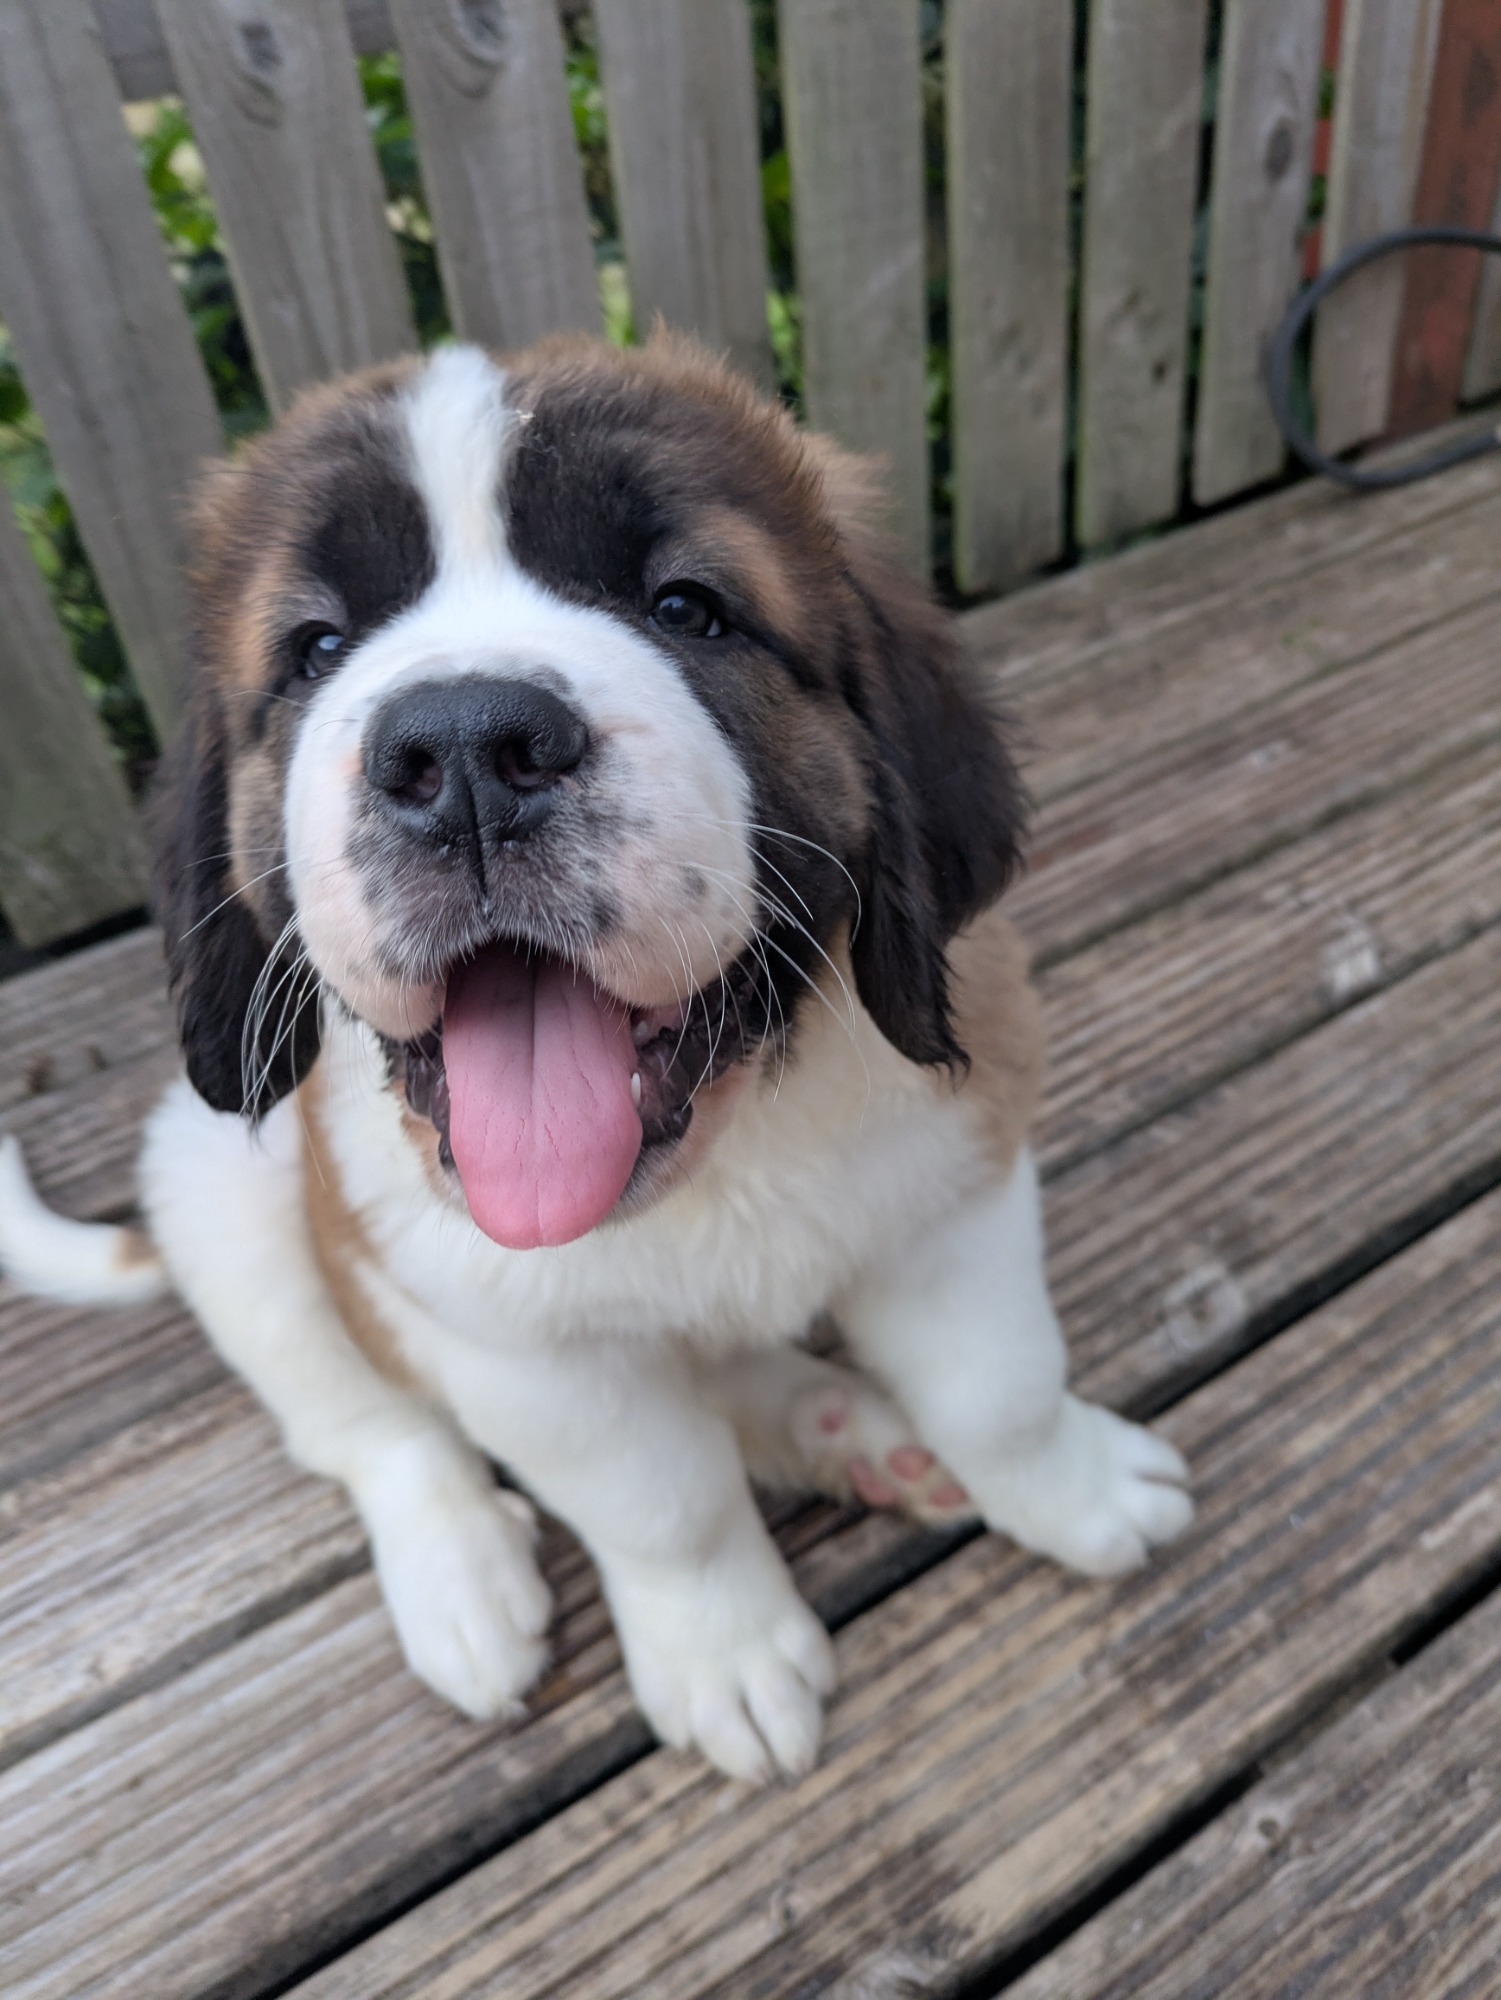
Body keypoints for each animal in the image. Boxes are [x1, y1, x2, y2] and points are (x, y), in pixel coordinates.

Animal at [0, 335, 1191, 1781]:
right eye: (316, 648)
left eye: (687, 608)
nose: (464, 748)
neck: (722, 1141)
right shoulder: (516, 1345)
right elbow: (661, 1500)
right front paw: (725, 1651)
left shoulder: (953, 1182)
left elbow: (999, 1387)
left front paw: (1074, 1493)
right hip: (219, 1187)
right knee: (364, 1423)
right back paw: (464, 1577)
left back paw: (840, 1428)